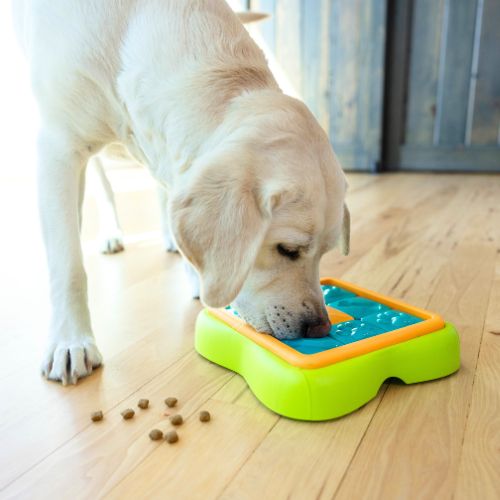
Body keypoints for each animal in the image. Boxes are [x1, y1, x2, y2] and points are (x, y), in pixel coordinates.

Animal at [13, 0, 350, 385]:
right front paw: (70, 341)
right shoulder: (58, 148)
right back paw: (112, 234)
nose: (320, 329)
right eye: (287, 250)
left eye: (324, 252)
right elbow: (68, 266)